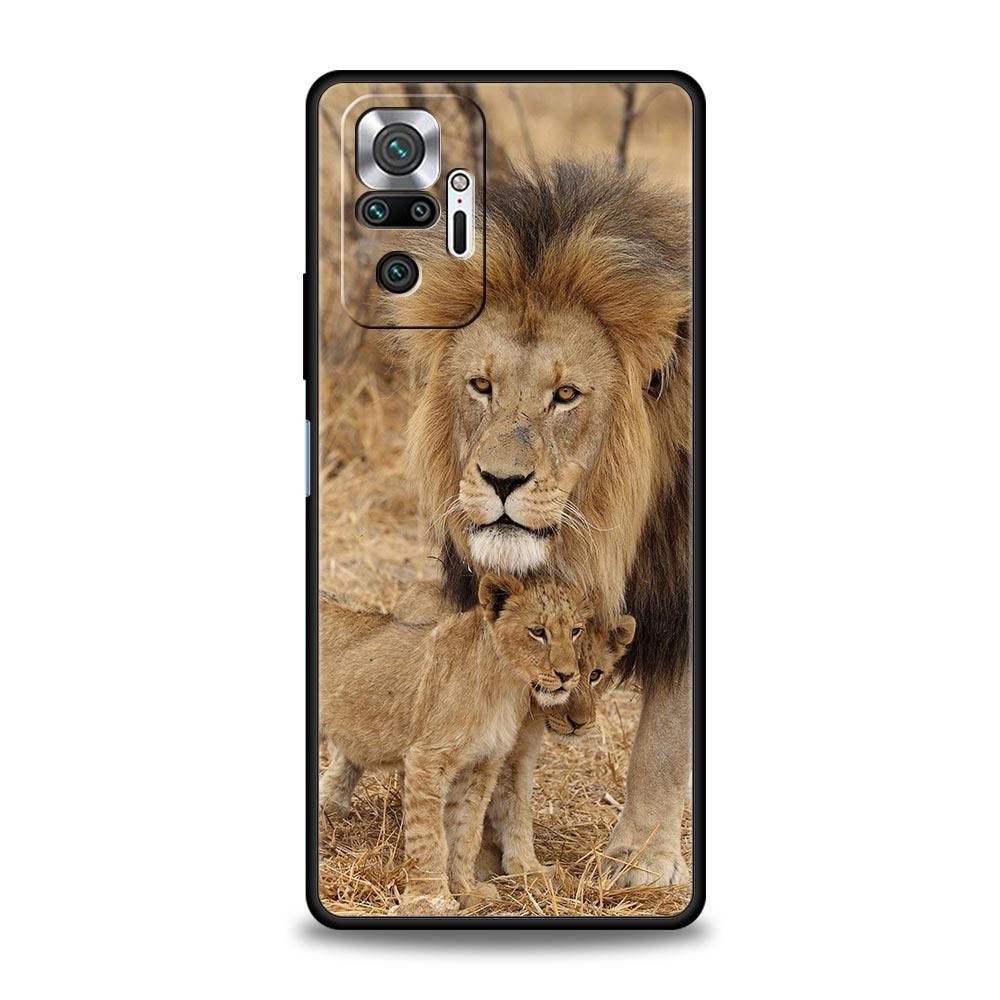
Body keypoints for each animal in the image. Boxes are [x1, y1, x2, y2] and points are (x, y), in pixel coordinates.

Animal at [318, 574, 592, 913]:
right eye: (538, 632)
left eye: (575, 631)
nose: (567, 675)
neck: (505, 684)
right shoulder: (427, 759)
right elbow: (430, 838)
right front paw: (430, 901)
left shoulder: (482, 764)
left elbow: (466, 832)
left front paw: (466, 891)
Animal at [391, 163, 693, 888]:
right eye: (481, 386)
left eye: (565, 396)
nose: (501, 481)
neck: (606, 534)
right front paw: (487, 853)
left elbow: (667, 738)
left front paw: (641, 863)